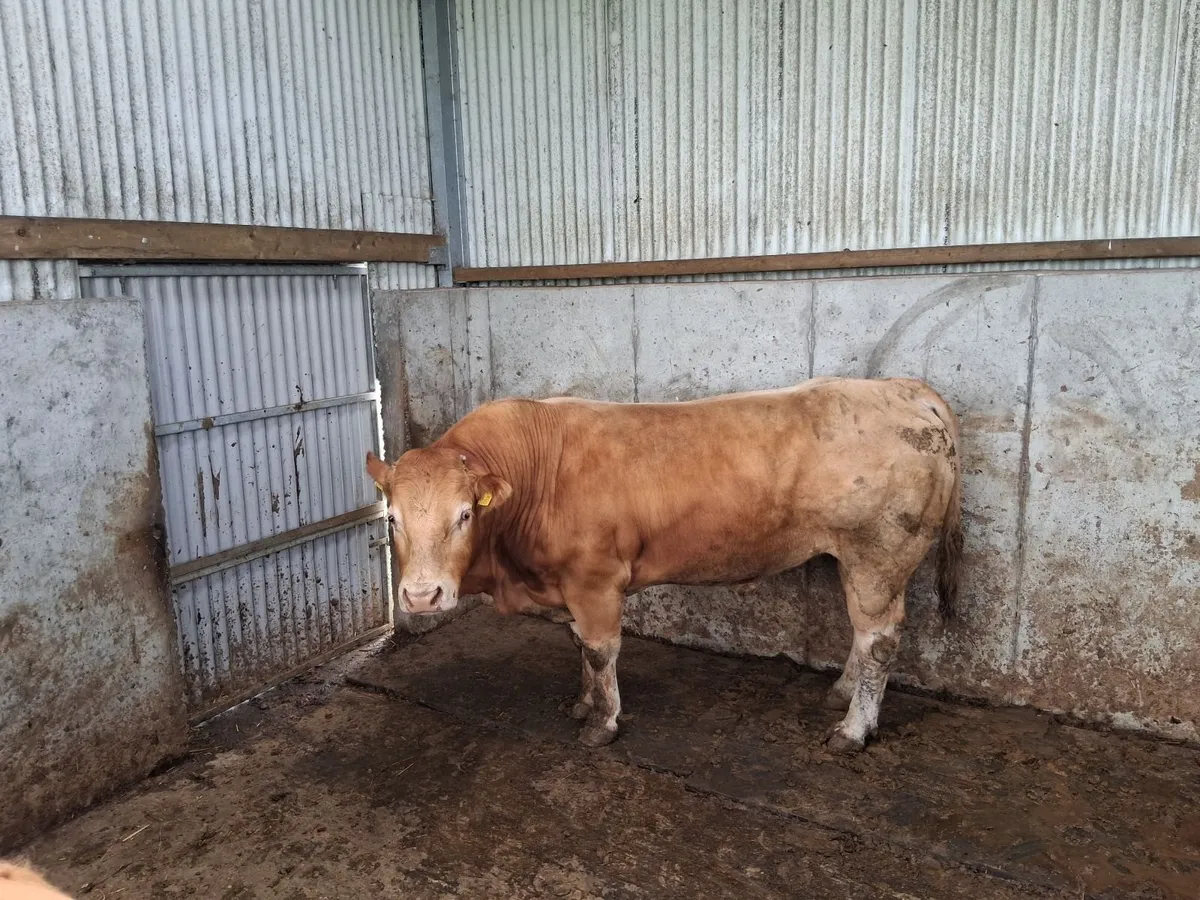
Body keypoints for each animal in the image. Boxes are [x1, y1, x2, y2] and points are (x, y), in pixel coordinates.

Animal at [366, 376, 962, 753]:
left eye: (465, 513)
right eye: (391, 517)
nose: (421, 597)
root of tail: (897, 388)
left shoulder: (596, 580)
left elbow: (600, 650)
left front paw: (603, 723)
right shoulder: (570, 586)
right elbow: (580, 647)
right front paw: (583, 703)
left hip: (879, 554)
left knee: (880, 639)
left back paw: (854, 730)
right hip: (857, 560)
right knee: (864, 634)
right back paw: (842, 691)